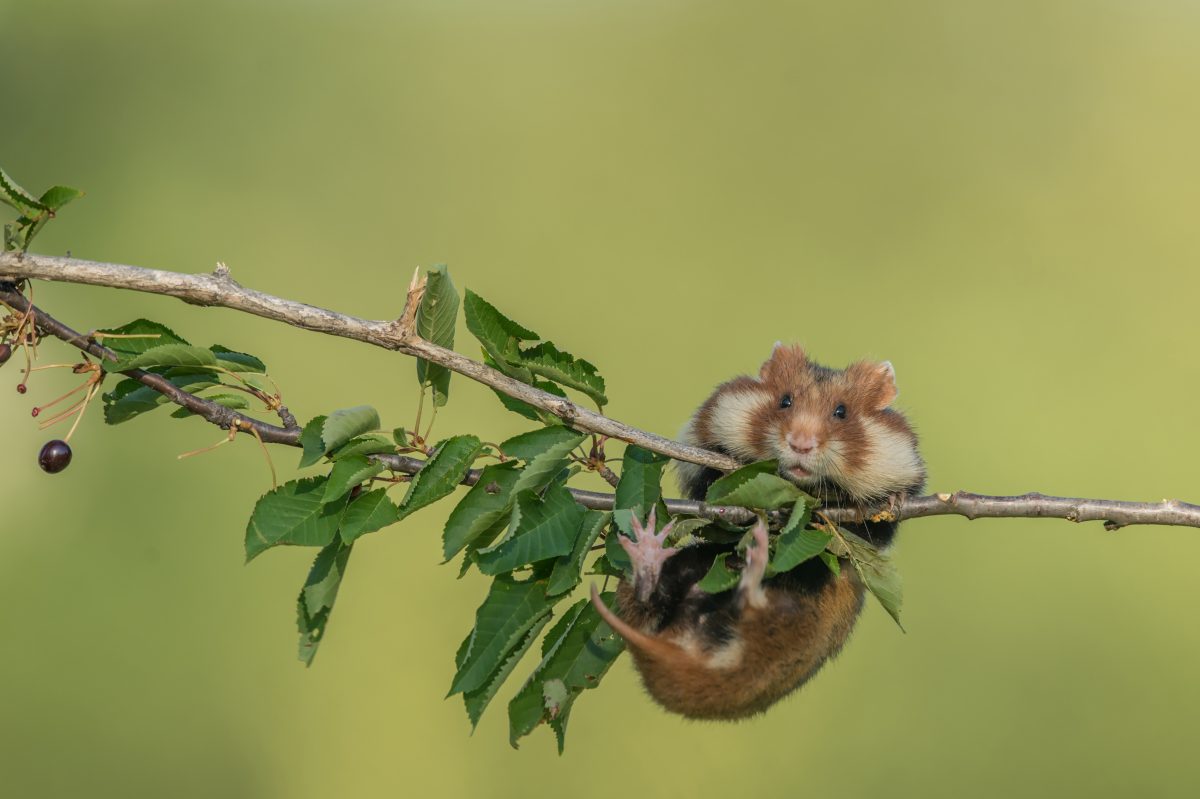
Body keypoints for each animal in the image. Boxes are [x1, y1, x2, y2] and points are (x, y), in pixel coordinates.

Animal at [595, 343, 921, 715]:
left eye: (842, 412)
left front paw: (894, 500)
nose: (800, 444)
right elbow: (710, 487)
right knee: (655, 597)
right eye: (785, 401)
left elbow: (877, 523)